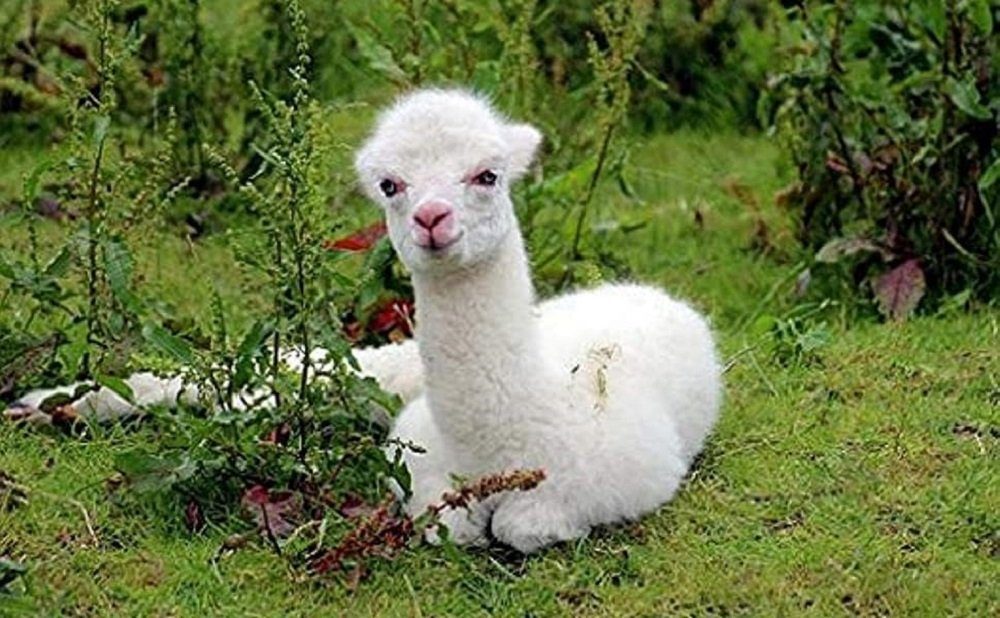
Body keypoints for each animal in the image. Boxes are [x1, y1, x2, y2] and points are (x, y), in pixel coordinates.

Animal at [5, 89, 722, 554]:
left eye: (487, 175)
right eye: (390, 185)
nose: (432, 218)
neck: (514, 431)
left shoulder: (632, 468)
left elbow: (524, 527)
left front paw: (523, 522)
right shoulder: (421, 458)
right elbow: (449, 524)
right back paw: (50, 406)